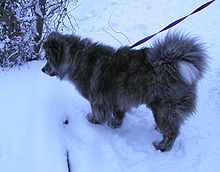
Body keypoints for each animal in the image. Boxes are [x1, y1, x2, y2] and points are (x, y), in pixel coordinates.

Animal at [41, 31, 208, 151]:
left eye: (48, 59)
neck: (77, 60)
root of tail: (170, 65)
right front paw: (115, 124)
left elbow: (97, 113)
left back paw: (161, 147)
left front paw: (93, 121)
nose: (42, 70)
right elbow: (118, 114)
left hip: (163, 108)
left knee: (172, 133)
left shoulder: (97, 100)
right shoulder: (116, 98)